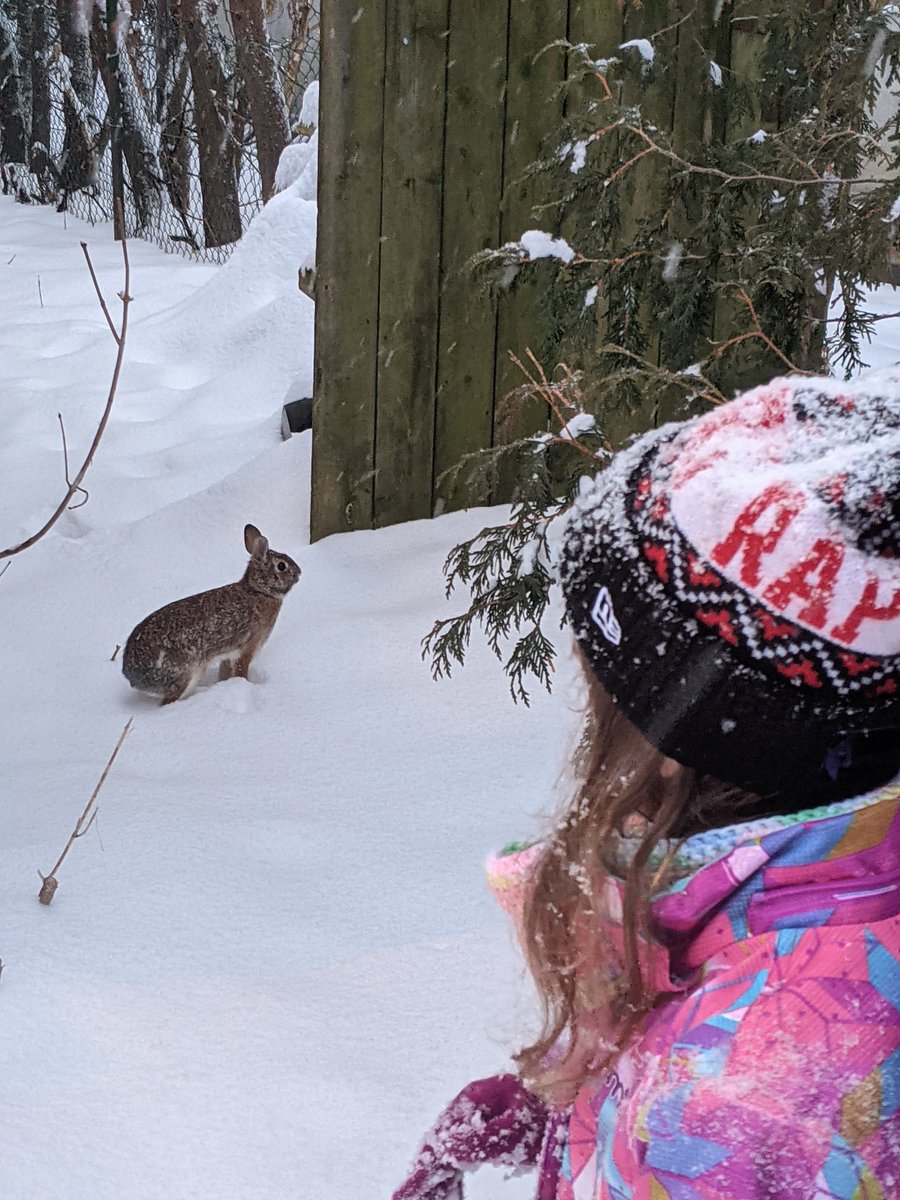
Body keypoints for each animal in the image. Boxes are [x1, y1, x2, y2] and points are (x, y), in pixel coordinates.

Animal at [123, 524, 301, 705]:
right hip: (186, 673)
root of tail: (131, 674)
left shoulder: (228, 655)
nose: (299, 573)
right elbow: (241, 670)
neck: (259, 591)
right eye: (281, 566)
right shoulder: (249, 646)